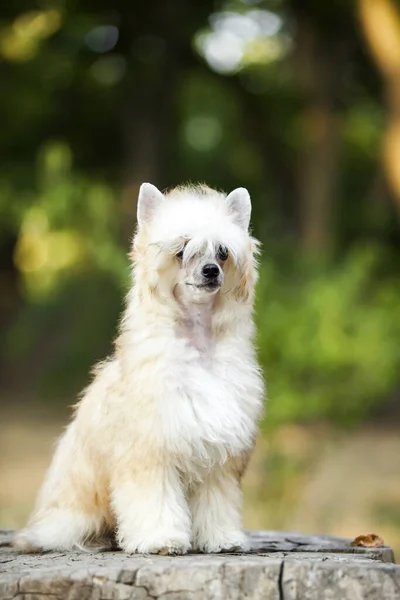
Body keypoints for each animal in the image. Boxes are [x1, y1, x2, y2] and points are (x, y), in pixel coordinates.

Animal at [14, 182, 266, 552]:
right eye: (181, 250)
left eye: (222, 253)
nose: (210, 270)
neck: (196, 343)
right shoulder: (149, 452)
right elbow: (154, 500)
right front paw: (161, 538)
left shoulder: (217, 459)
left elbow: (217, 501)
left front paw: (221, 538)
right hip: (74, 515)